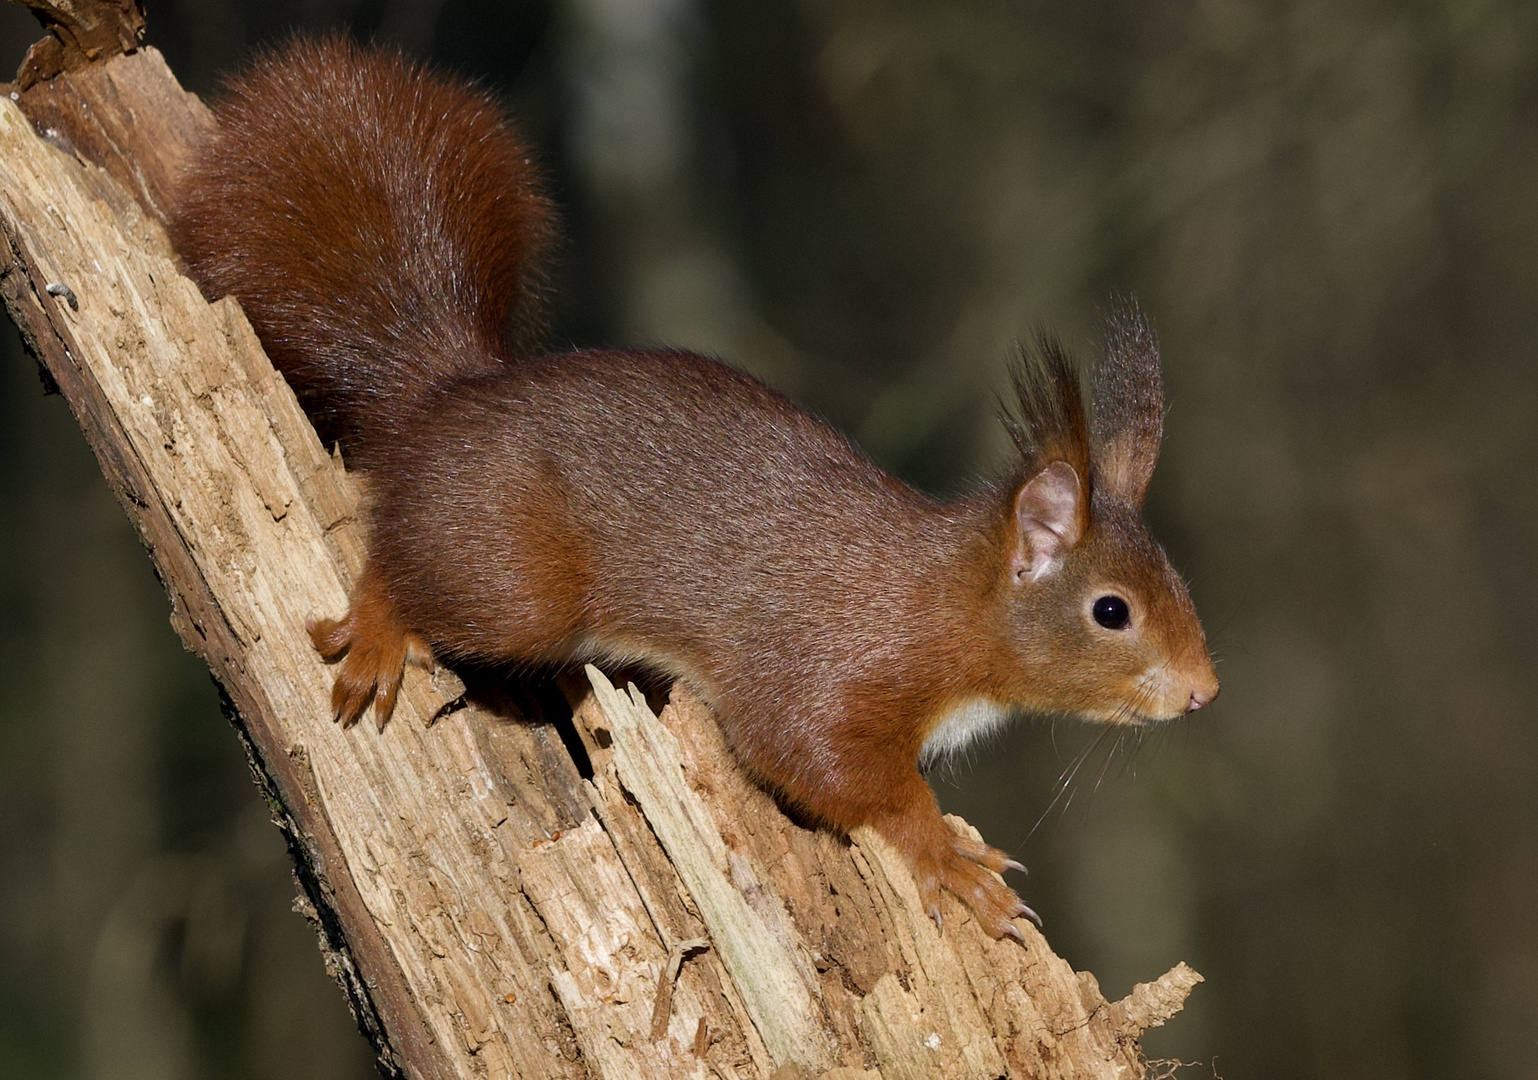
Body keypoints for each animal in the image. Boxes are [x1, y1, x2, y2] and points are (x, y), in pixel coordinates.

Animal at [168, 38, 1218, 941]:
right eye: (1112, 611)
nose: (1205, 692)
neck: (948, 605)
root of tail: (445, 400)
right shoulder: (831, 669)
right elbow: (831, 770)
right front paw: (948, 858)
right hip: (517, 584)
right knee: (402, 563)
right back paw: (383, 628)